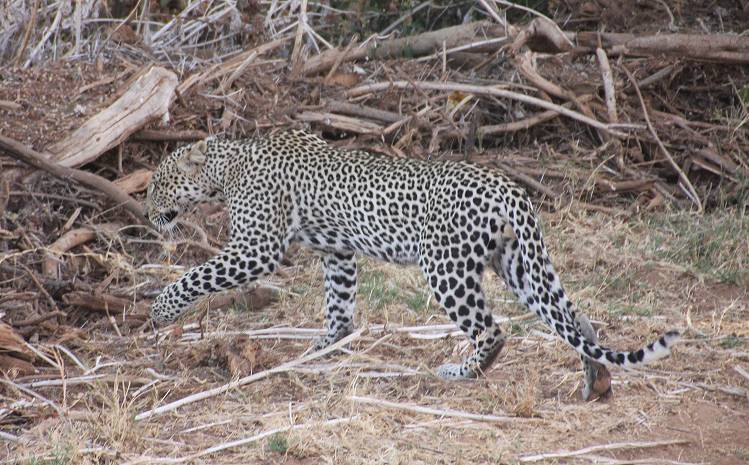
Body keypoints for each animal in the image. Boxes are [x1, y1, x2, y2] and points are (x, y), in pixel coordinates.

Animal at [146, 129, 676, 396]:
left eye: (156, 185)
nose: (149, 215)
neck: (227, 167)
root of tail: (509, 188)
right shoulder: (338, 251)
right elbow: (339, 302)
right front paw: (326, 345)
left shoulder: (255, 249)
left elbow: (194, 277)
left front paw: (159, 313)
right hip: (518, 262)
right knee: (573, 317)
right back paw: (595, 381)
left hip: (446, 267)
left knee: (492, 330)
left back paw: (461, 372)